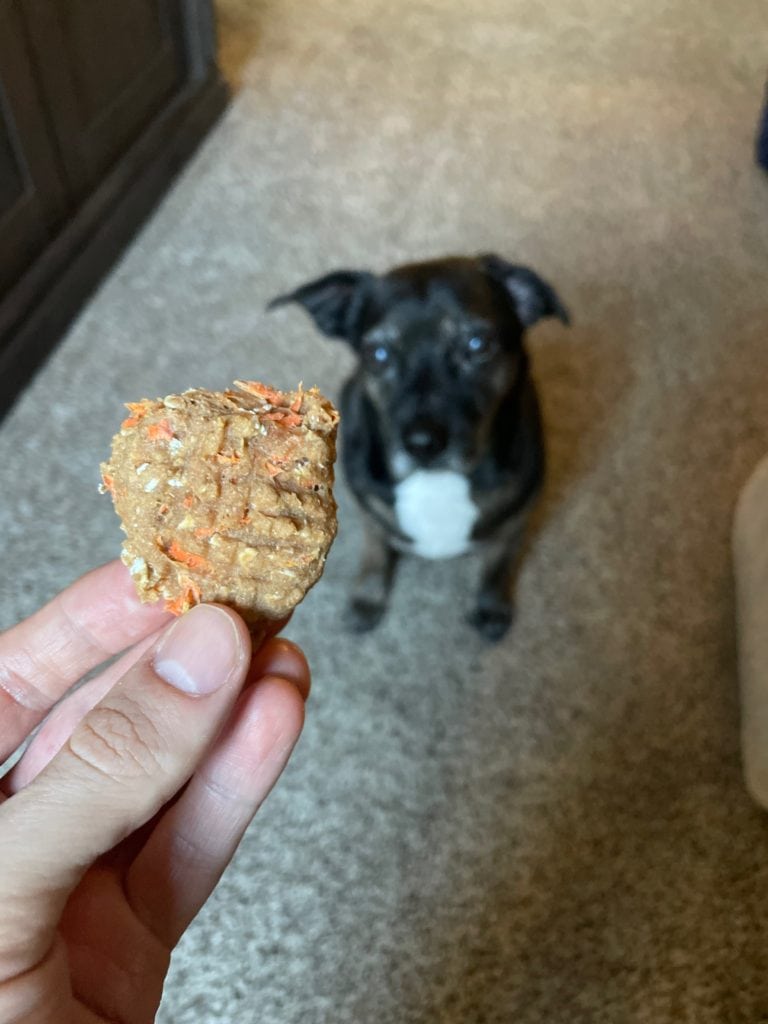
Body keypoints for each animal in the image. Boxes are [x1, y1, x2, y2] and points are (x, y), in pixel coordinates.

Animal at [268, 256, 569, 638]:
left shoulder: (516, 519)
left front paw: (491, 605)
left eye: (478, 344)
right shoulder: (372, 515)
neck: (438, 482)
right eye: (377, 354)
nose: (422, 444)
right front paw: (368, 597)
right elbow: (376, 553)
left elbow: (498, 563)